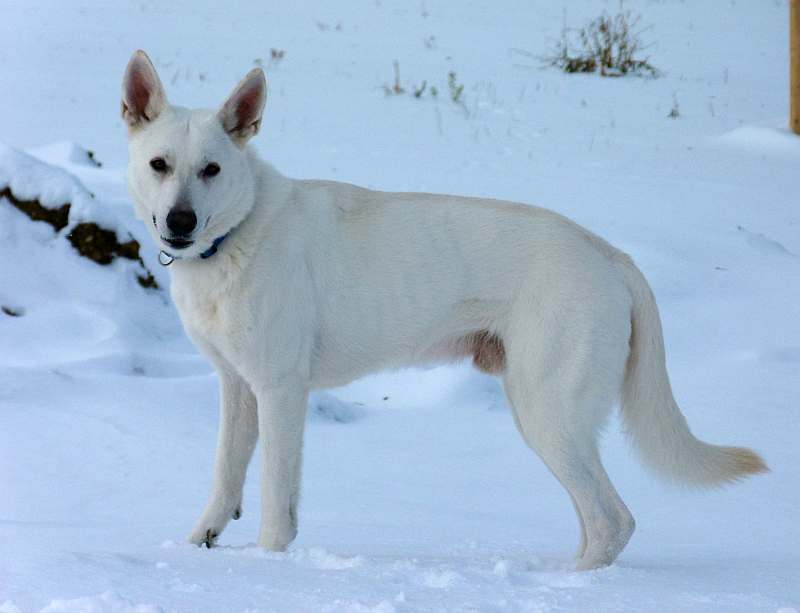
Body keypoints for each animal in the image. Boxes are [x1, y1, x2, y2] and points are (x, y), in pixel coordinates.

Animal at [122, 51, 764, 568]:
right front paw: (201, 544)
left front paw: (269, 568)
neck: (238, 234)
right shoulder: (238, 387)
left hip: (547, 412)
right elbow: (225, 477)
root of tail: (613, 256)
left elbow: (276, 502)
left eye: (212, 169)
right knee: (598, 522)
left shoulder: (281, 391)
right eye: (159, 165)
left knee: (613, 522)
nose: (180, 223)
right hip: (546, 415)